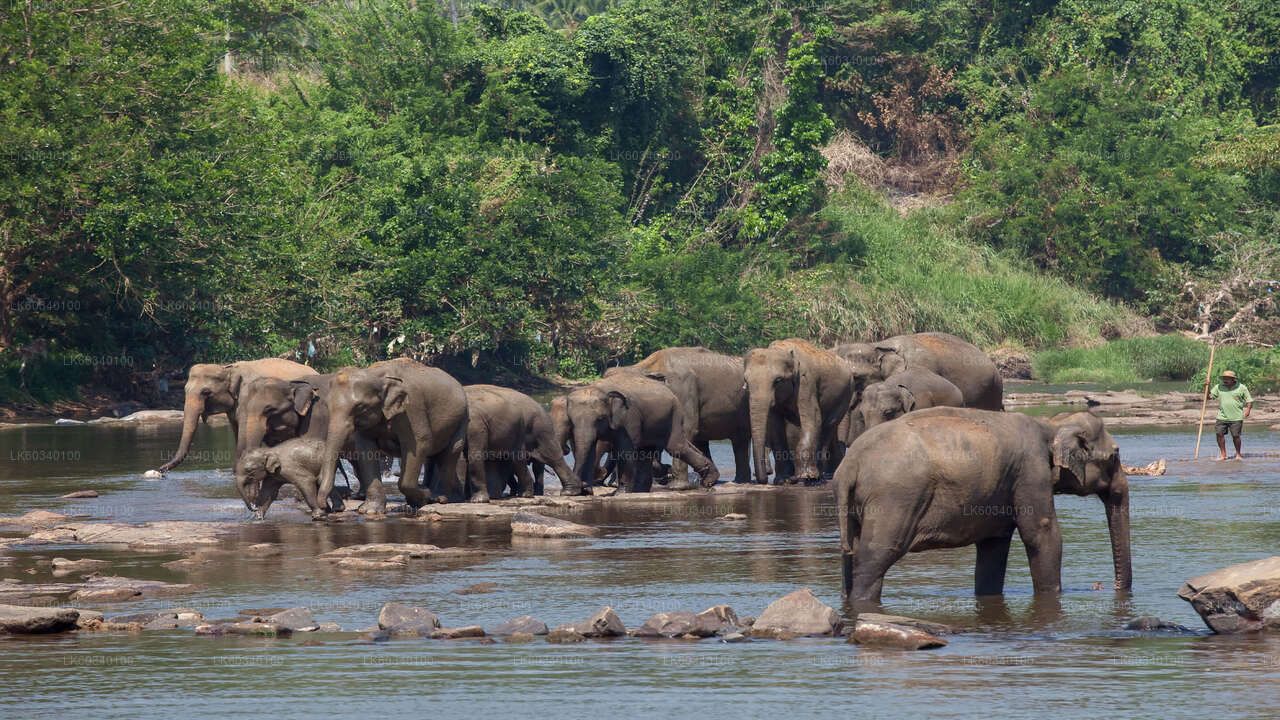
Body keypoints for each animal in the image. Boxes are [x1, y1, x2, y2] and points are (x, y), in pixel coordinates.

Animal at [156, 358, 317, 473]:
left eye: (206, 392)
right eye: (184, 389)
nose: (160, 470)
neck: (228, 368)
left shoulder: (248, 400)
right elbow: (236, 430)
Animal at [318, 358, 469, 512]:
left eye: (360, 407)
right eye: (327, 406)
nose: (326, 506)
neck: (378, 375)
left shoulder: (412, 408)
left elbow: (421, 443)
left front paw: (423, 497)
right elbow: (365, 449)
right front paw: (370, 510)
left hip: (462, 419)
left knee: (451, 452)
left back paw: (440, 498)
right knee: (434, 456)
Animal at [564, 374, 719, 494]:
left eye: (600, 418)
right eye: (570, 421)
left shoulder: (628, 417)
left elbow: (624, 449)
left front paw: (620, 493)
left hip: (674, 414)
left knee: (675, 447)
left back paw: (709, 480)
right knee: (647, 451)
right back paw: (640, 490)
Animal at [744, 339, 855, 484]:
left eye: (778, 380)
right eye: (746, 381)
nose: (763, 480)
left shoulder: (805, 382)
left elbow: (813, 418)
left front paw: (806, 477)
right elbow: (775, 427)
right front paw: (783, 480)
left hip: (845, 396)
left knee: (828, 426)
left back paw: (817, 477)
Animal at [834, 407, 1132, 603]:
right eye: (1114, 455)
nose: (1105, 587)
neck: (1050, 424)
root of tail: (850, 464)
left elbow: (993, 546)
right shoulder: (1031, 471)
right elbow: (1042, 533)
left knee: (850, 552)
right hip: (894, 500)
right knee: (875, 556)